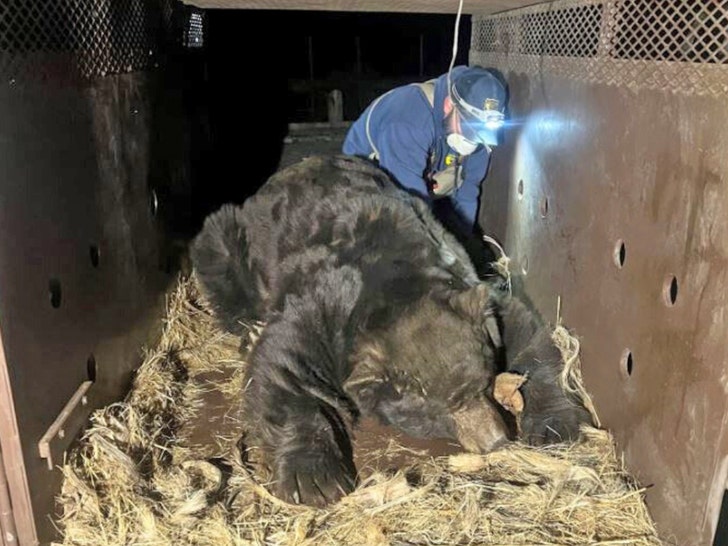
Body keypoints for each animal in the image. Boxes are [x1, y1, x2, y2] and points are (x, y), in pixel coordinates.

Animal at [189, 153, 592, 506]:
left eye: (484, 384)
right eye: (439, 410)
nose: (495, 441)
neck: (395, 282)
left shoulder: (471, 286)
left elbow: (524, 329)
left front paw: (554, 423)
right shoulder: (323, 305)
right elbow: (281, 362)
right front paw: (316, 479)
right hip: (231, 240)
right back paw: (247, 324)